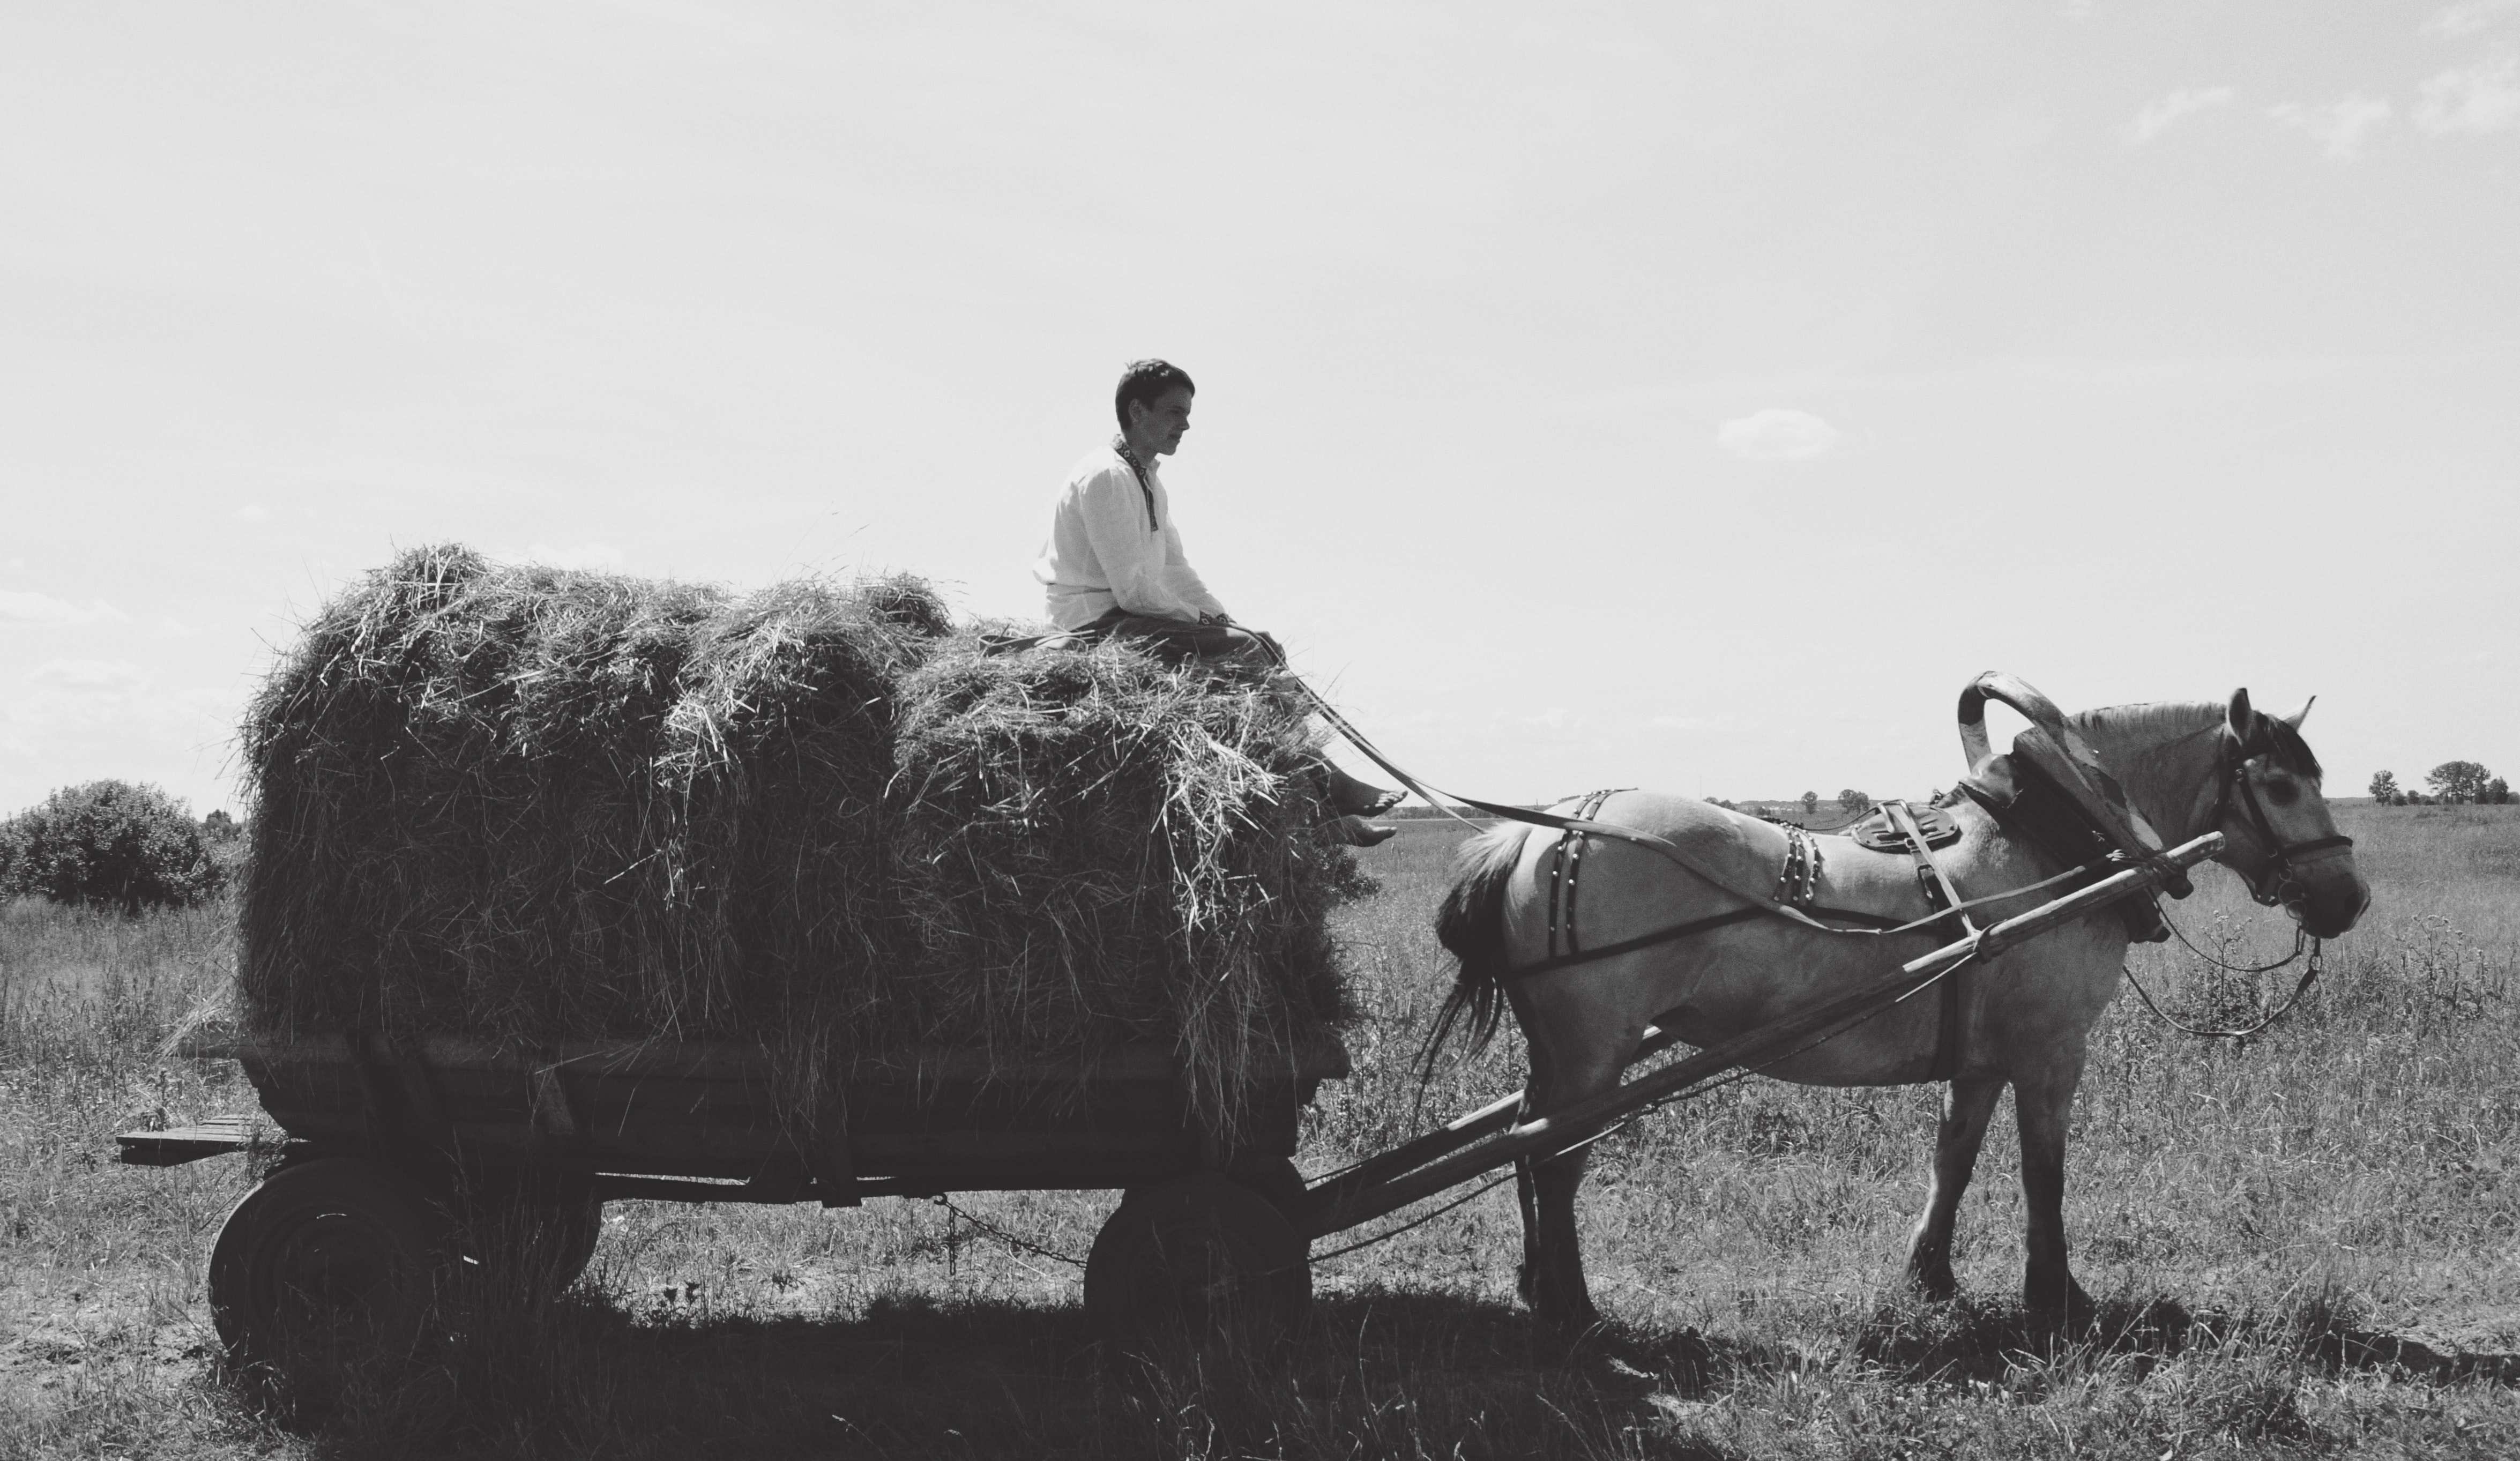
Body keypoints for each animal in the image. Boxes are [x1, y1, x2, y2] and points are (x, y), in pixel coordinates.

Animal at [1431, 685, 2368, 1340]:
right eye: (2280, 783)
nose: (2348, 897)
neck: (2053, 842)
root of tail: (1541, 830)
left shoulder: (1981, 1060)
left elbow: (1952, 1159)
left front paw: (1929, 1277)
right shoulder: (2050, 1053)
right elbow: (2043, 1174)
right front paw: (2057, 1297)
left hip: (1560, 1053)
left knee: (1526, 1141)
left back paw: (1537, 1286)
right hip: (1595, 1049)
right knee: (1554, 1162)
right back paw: (1574, 1306)